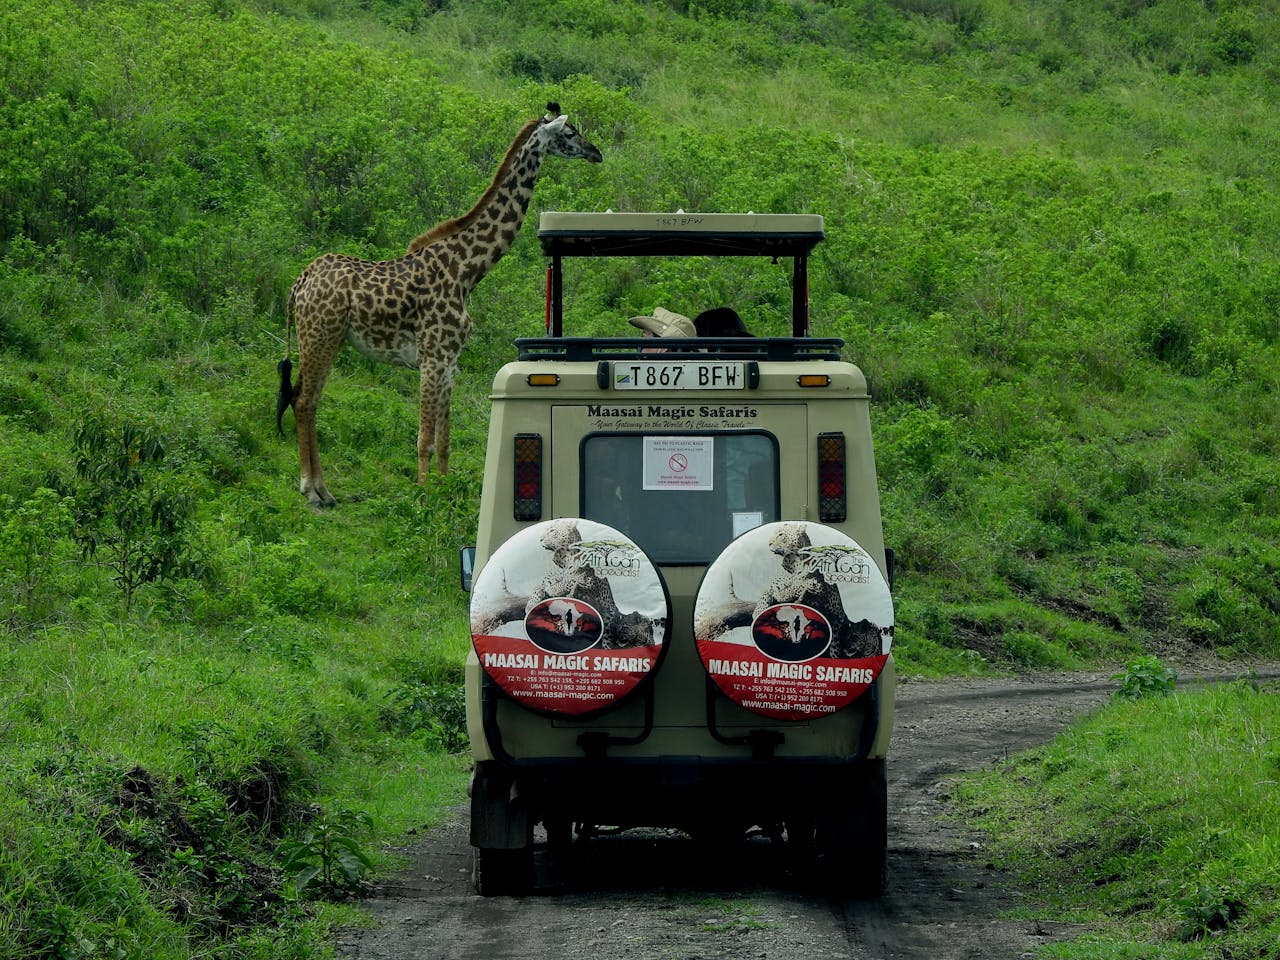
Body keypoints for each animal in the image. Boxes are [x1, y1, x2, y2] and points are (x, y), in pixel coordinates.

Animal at [276, 104, 602, 507]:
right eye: (570, 133)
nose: (596, 152)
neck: (466, 270)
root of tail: (299, 283)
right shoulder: (431, 358)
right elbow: (424, 440)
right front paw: (422, 494)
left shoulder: (450, 362)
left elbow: (445, 441)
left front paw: (445, 492)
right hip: (320, 337)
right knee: (304, 401)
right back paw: (313, 490)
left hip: (327, 340)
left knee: (306, 399)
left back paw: (322, 489)